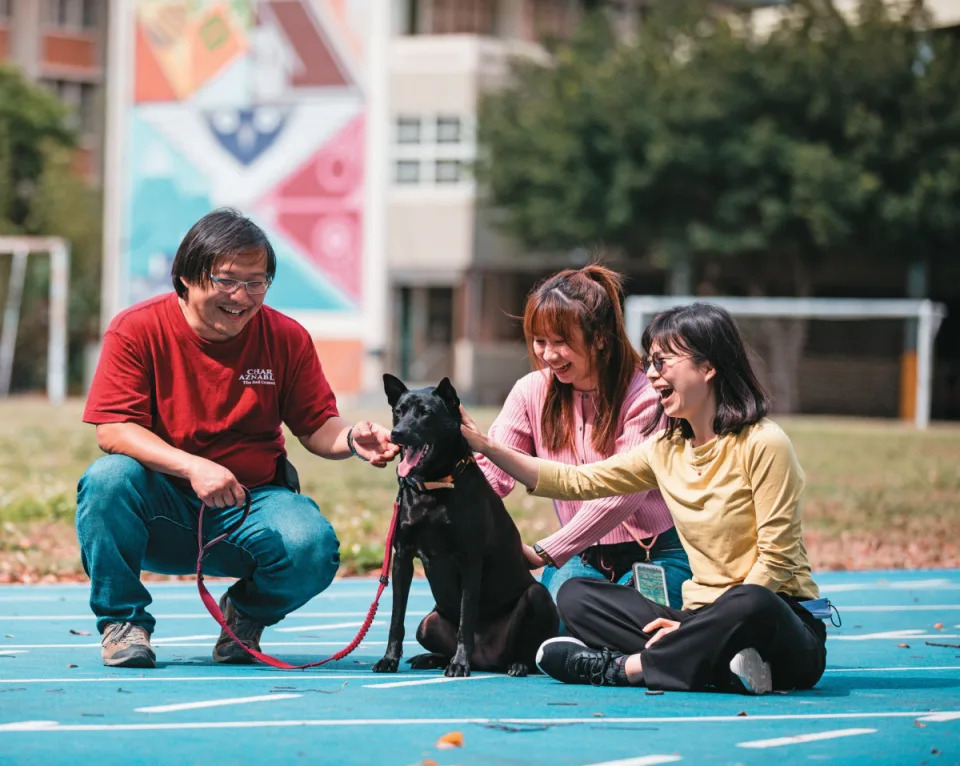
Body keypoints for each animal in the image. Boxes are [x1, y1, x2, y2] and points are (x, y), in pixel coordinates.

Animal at [372, 376, 560, 680]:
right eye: (398, 412)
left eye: (425, 413)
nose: (396, 434)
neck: (434, 485)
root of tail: (487, 660)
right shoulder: (402, 557)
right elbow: (396, 617)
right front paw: (389, 659)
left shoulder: (470, 559)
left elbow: (466, 617)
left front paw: (459, 663)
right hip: (427, 623)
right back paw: (430, 658)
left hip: (538, 597)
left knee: (531, 651)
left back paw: (516, 664)